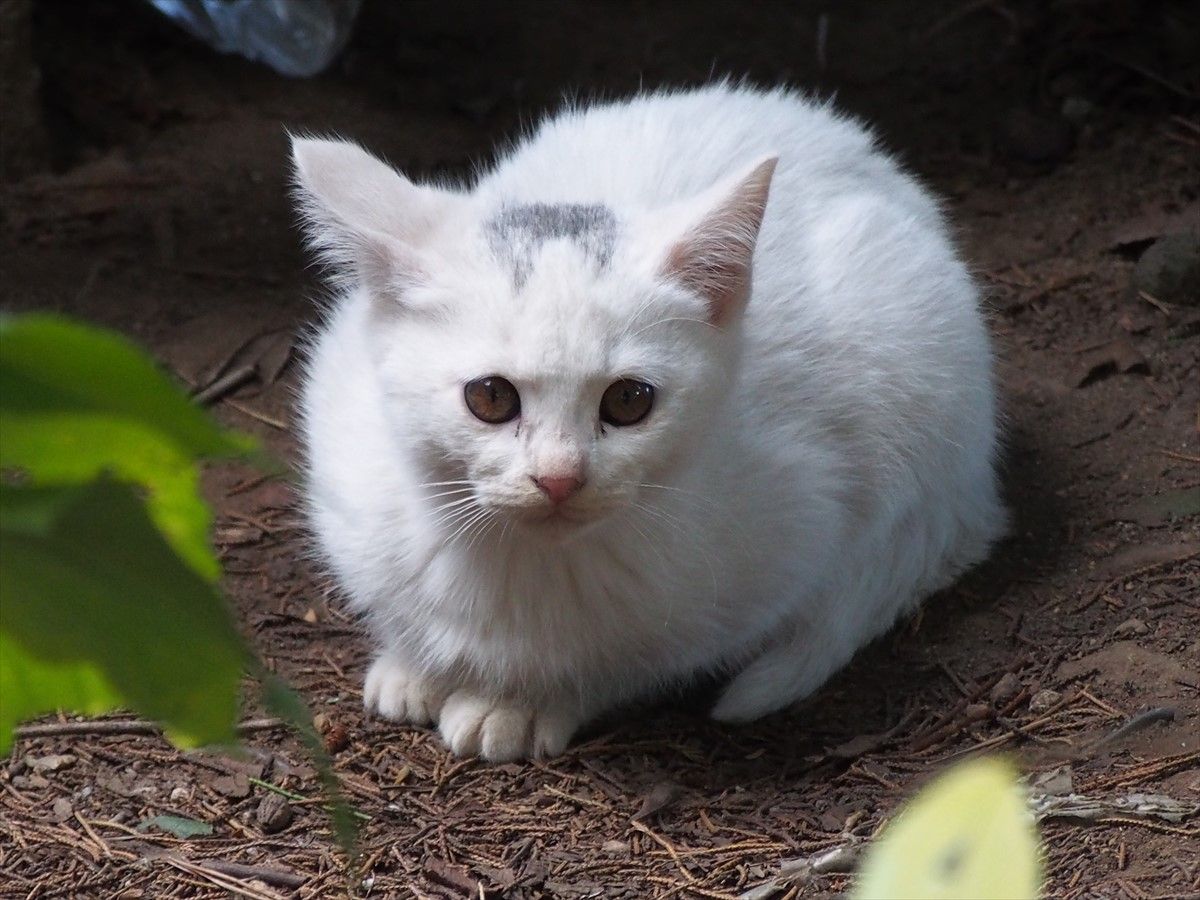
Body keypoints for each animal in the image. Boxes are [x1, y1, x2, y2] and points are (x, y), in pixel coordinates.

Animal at [292, 83, 1006, 762]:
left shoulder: (799, 526)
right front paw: (414, 664)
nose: (559, 478)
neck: (527, 566)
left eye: (629, 401)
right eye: (490, 396)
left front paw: (522, 700)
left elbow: (643, 659)